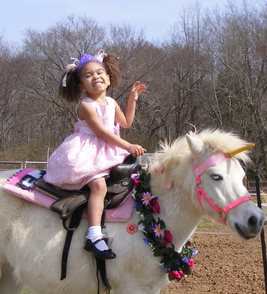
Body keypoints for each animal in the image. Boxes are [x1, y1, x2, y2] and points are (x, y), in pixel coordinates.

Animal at [0, 130, 264, 292]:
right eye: (216, 176)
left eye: (242, 175)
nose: (256, 219)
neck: (152, 214)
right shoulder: (133, 288)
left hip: (9, 277)